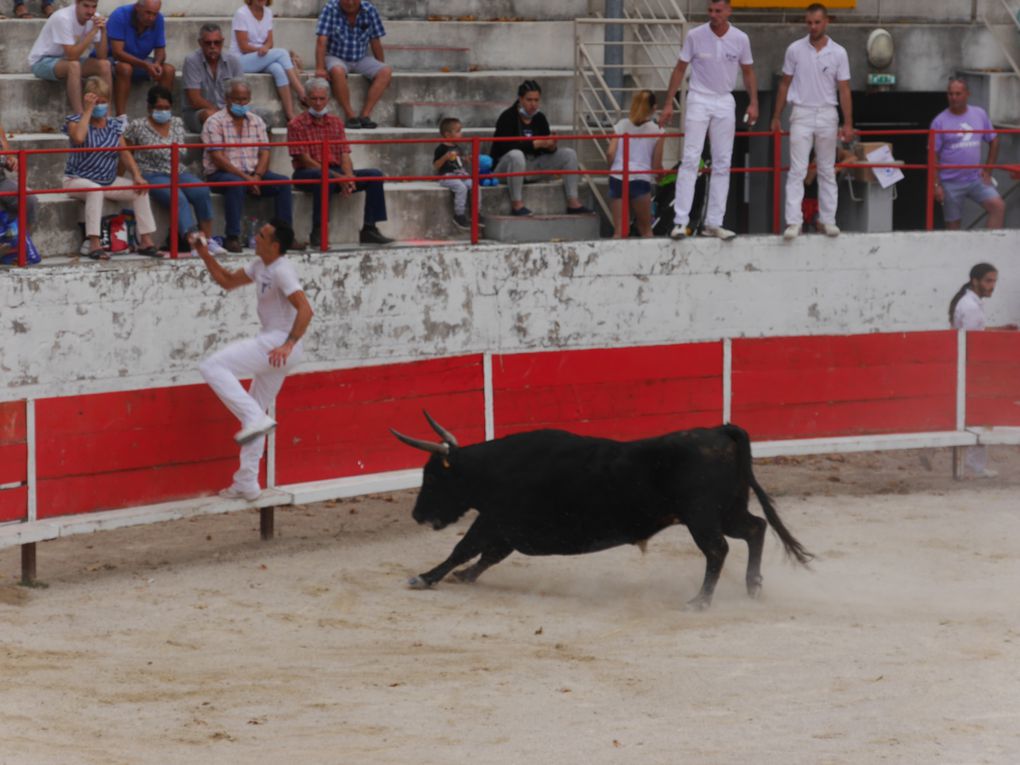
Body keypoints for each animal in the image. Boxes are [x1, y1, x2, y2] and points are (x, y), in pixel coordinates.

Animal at [391, 414, 811, 612]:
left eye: (433, 477)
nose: (417, 515)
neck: (492, 468)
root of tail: (719, 431)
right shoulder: (506, 528)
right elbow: (485, 555)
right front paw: (462, 577)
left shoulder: (495, 519)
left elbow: (463, 548)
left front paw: (424, 578)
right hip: (728, 510)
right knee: (755, 528)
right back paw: (753, 586)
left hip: (702, 517)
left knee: (717, 550)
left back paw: (700, 601)